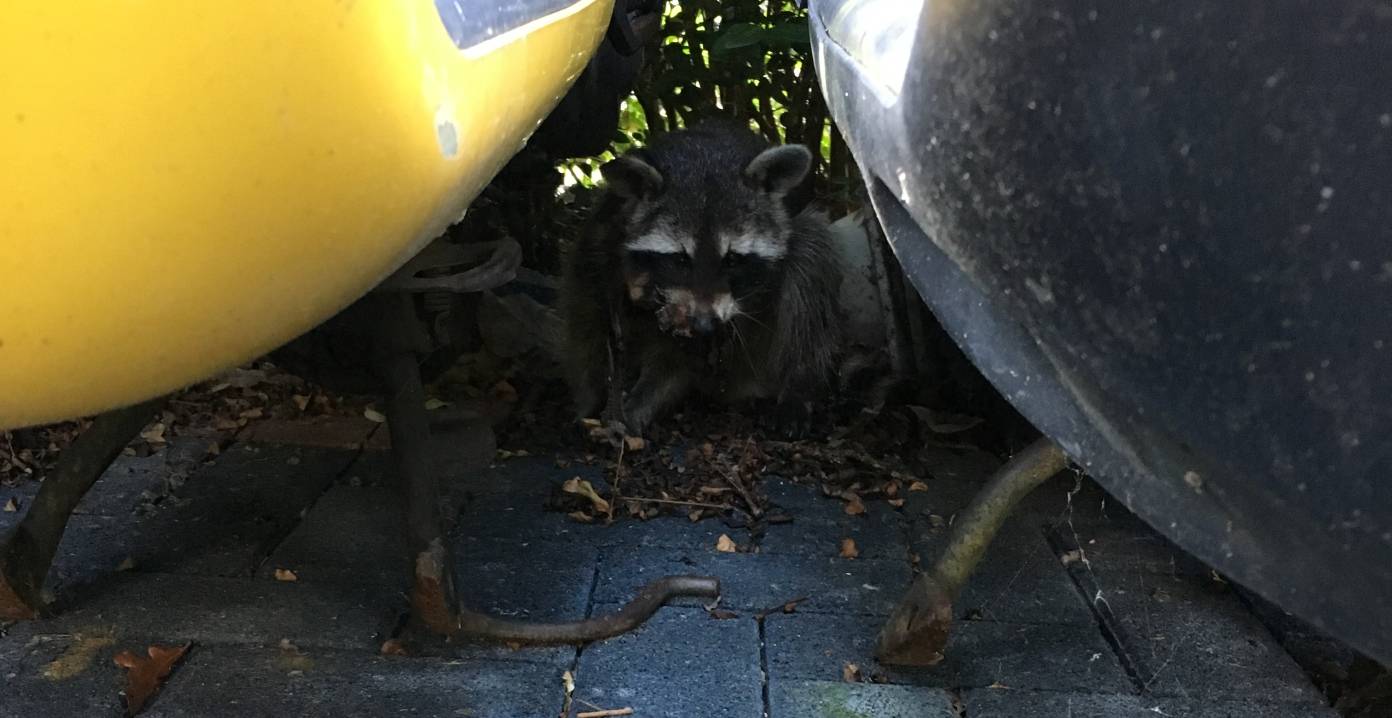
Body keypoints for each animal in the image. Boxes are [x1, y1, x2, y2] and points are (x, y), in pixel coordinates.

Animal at [559, 121, 840, 436]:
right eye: (681, 259)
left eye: (732, 259)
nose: (706, 325)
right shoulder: (602, 243)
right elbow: (587, 324)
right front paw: (590, 401)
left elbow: (674, 363)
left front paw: (640, 404)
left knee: (810, 263)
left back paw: (798, 386)